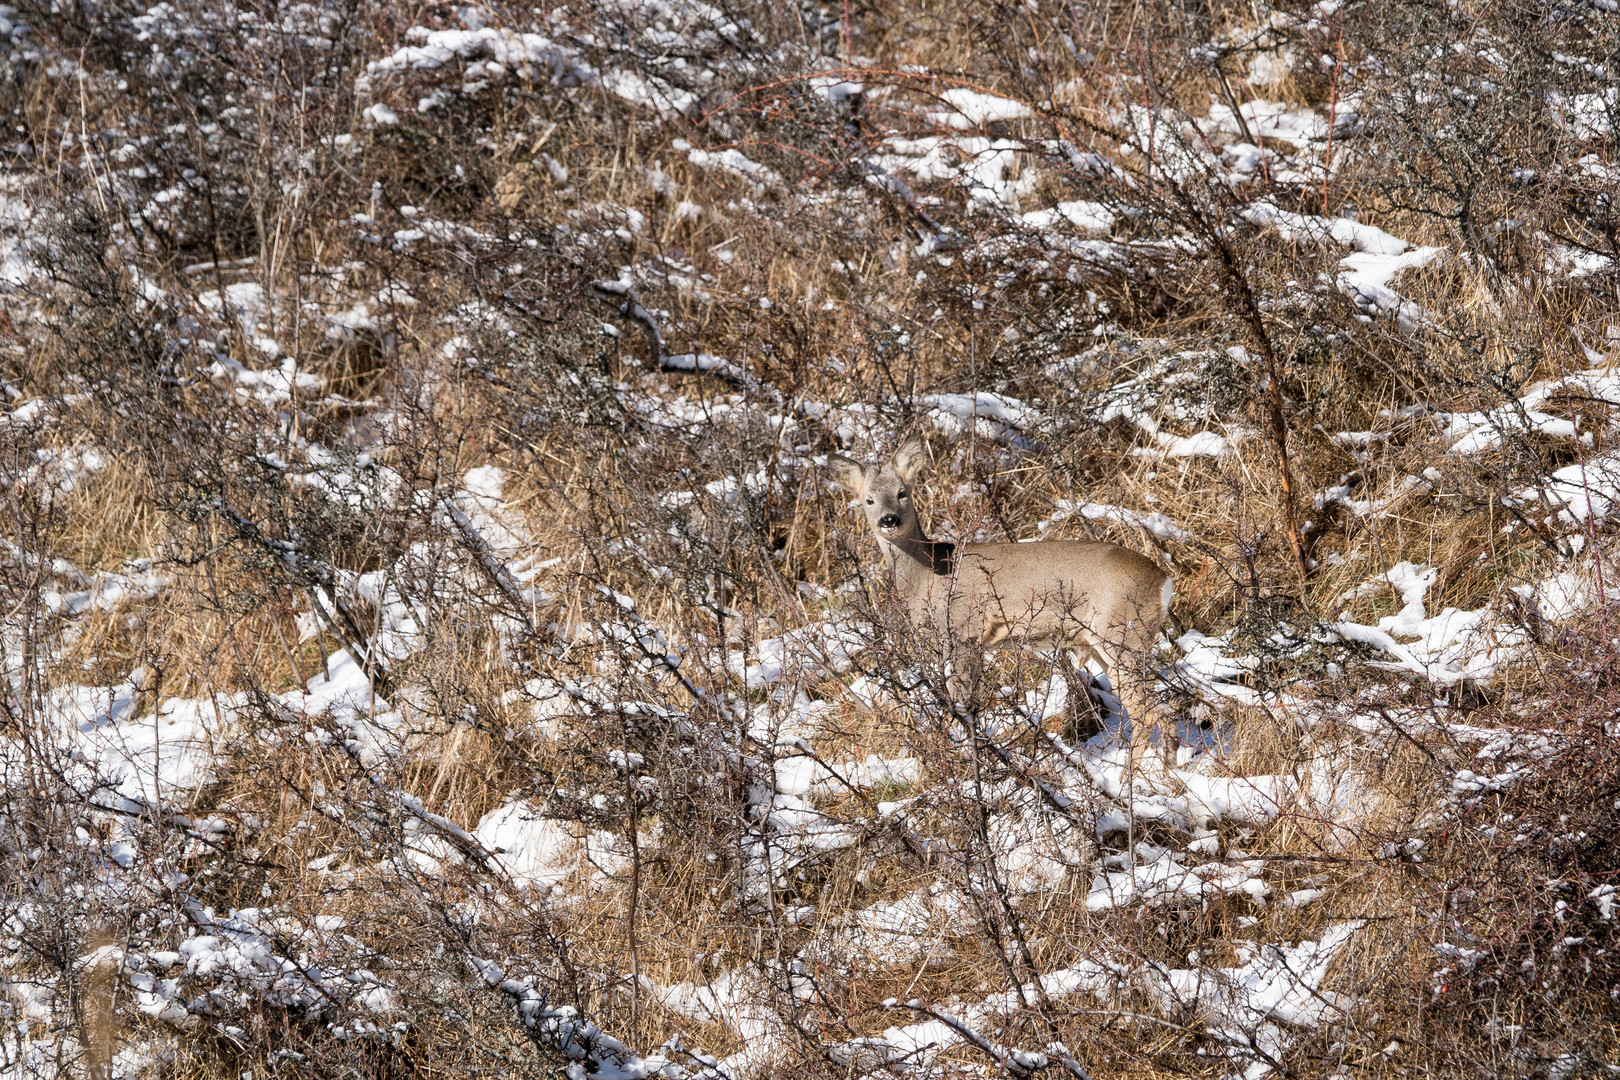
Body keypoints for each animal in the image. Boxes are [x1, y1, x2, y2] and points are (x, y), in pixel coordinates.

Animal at [835, 437, 1179, 767]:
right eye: (868, 499)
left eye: (902, 492)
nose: (888, 519)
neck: (926, 574)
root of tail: (1164, 581)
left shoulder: (964, 634)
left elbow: (960, 705)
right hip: (1103, 643)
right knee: (1159, 710)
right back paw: (1169, 773)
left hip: (1121, 634)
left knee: (1149, 713)